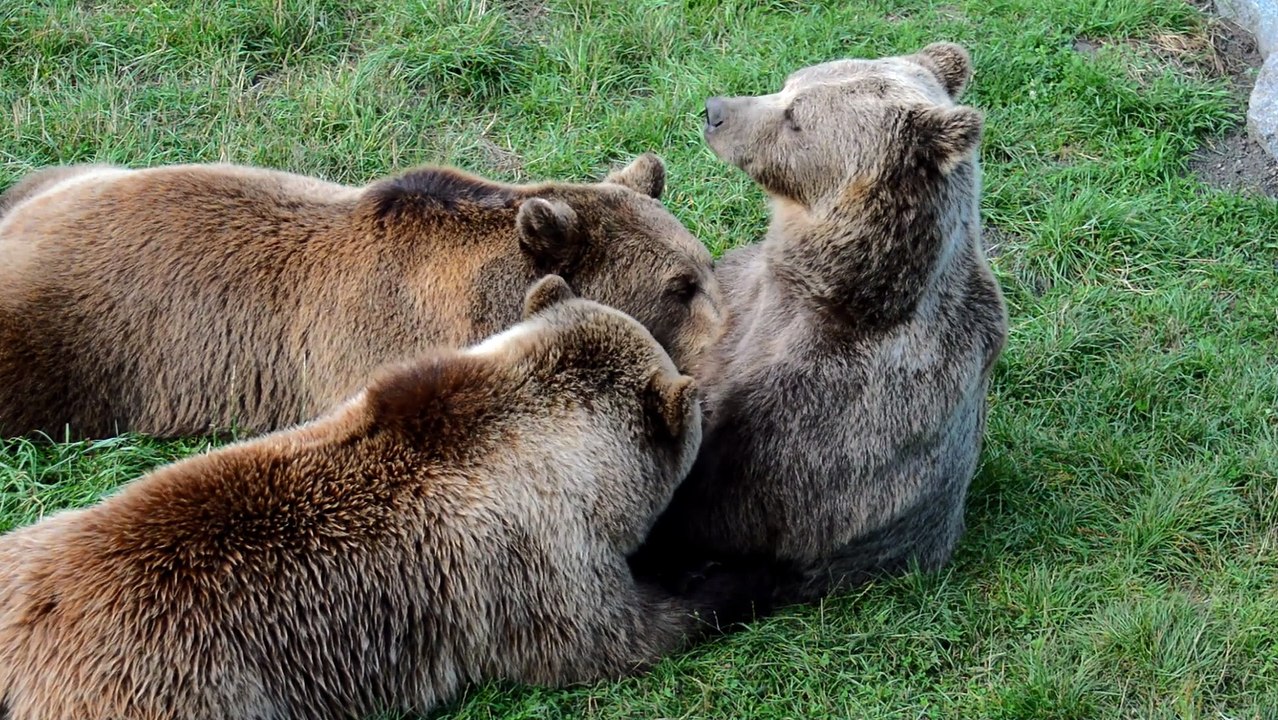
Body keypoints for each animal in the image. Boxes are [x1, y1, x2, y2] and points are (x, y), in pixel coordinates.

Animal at [631, 43, 1009, 605]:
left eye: (796, 118)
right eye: (789, 83)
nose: (715, 111)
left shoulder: (834, 401)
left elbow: (726, 493)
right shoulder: (742, 299)